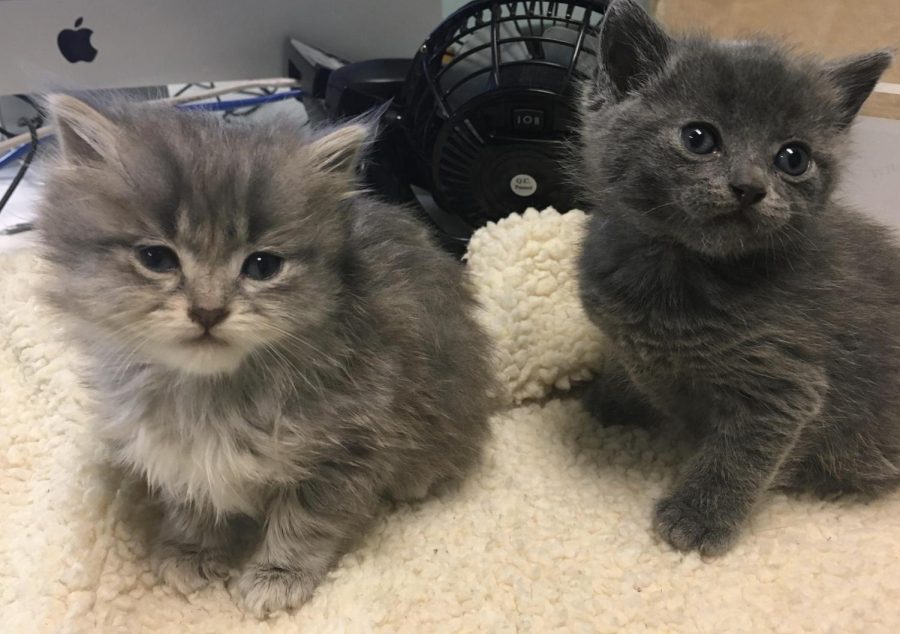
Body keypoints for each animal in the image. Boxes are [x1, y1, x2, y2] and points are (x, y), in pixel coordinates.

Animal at [37, 96, 500, 616]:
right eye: (156, 258)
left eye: (262, 266)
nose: (208, 310)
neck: (210, 394)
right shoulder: (175, 451)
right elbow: (194, 499)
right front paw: (193, 549)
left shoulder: (351, 443)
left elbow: (307, 521)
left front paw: (278, 575)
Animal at [576, 0, 900, 552]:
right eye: (698, 138)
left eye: (793, 157)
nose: (749, 186)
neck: (679, 269)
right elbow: (624, 359)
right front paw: (607, 402)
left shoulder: (784, 383)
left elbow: (738, 457)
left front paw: (697, 518)